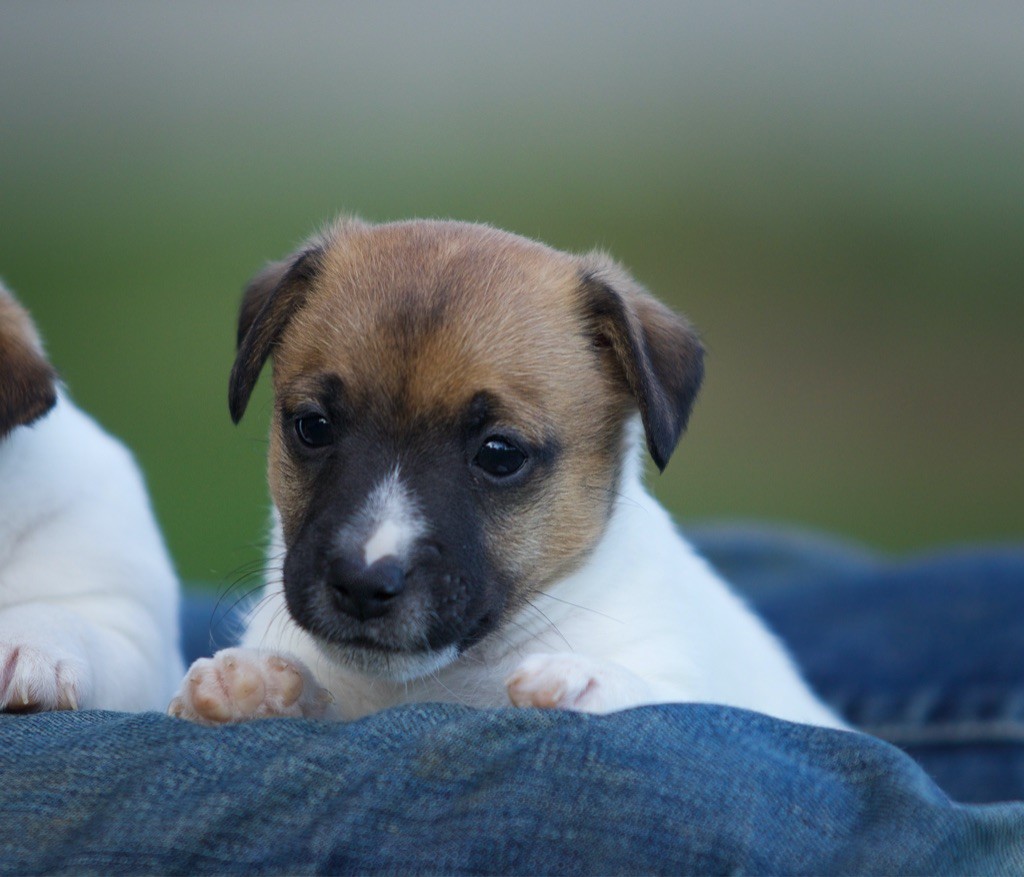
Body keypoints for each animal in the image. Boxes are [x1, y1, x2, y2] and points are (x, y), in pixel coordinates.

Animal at [165, 219, 839, 725]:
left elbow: (667, 696)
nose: (361, 582)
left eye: (499, 454)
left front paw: (583, 679)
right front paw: (253, 682)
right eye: (313, 427)